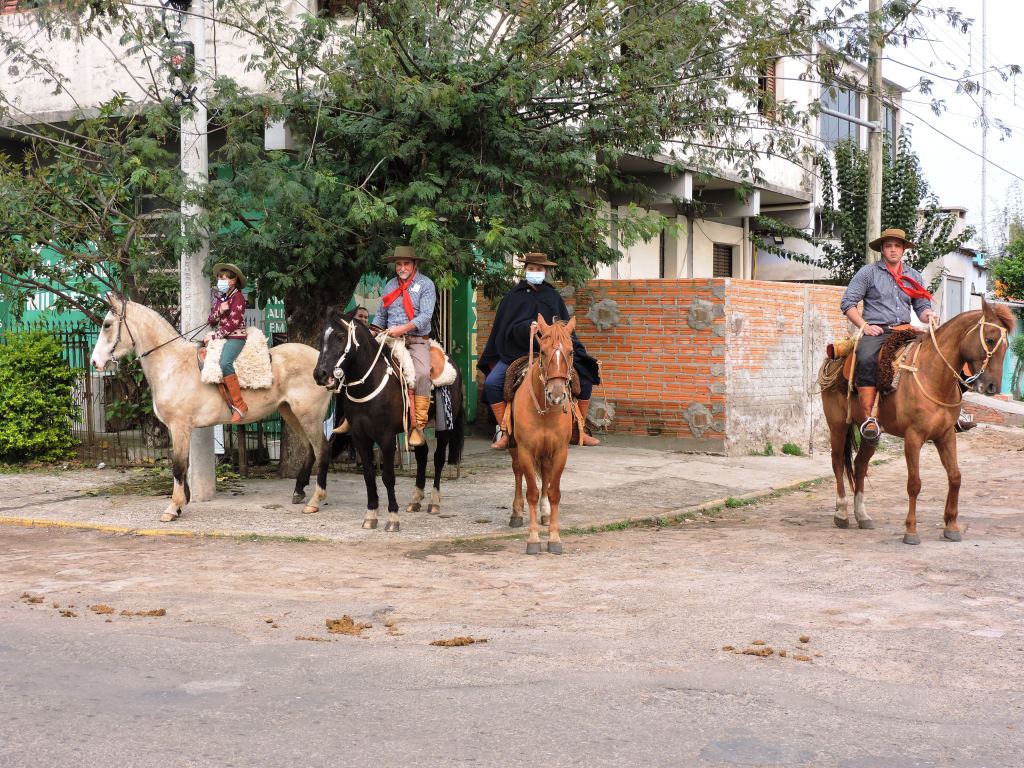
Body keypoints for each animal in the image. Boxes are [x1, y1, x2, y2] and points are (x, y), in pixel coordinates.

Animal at [90, 292, 331, 524]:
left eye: (107, 324)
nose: (95, 362)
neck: (173, 365)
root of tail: (322, 364)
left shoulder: (180, 427)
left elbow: (178, 467)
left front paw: (173, 507)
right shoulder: (177, 429)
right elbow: (183, 466)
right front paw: (182, 503)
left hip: (309, 416)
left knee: (322, 450)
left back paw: (315, 501)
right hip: (290, 412)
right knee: (310, 449)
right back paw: (299, 491)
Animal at [313, 309, 466, 532]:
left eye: (340, 337)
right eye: (320, 337)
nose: (320, 374)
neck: (370, 383)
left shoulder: (385, 437)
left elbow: (387, 476)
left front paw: (393, 517)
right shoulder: (359, 436)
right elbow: (369, 474)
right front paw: (371, 514)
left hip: (444, 425)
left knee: (437, 459)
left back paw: (434, 502)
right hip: (415, 428)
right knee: (422, 454)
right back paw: (415, 499)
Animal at [509, 315, 581, 557]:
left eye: (571, 352)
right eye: (542, 351)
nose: (557, 395)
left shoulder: (560, 451)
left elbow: (554, 491)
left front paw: (554, 538)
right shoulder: (525, 450)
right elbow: (531, 490)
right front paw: (533, 539)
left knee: (547, 477)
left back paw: (546, 513)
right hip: (515, 449)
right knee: (517, 472)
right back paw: (516, 512)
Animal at [823, 296, 1015, 544]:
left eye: (1007, 346)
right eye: (990, 340)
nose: (992, 387)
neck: (933, 377)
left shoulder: (946, 435)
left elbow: (955, 476)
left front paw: (951, 526)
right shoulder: (913, 438)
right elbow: (914, 484)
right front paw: (911, 530)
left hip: (871, 434)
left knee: (860, 465)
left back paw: (862, 515)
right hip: (837, 425)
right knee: (838, 463)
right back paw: (842, 513)